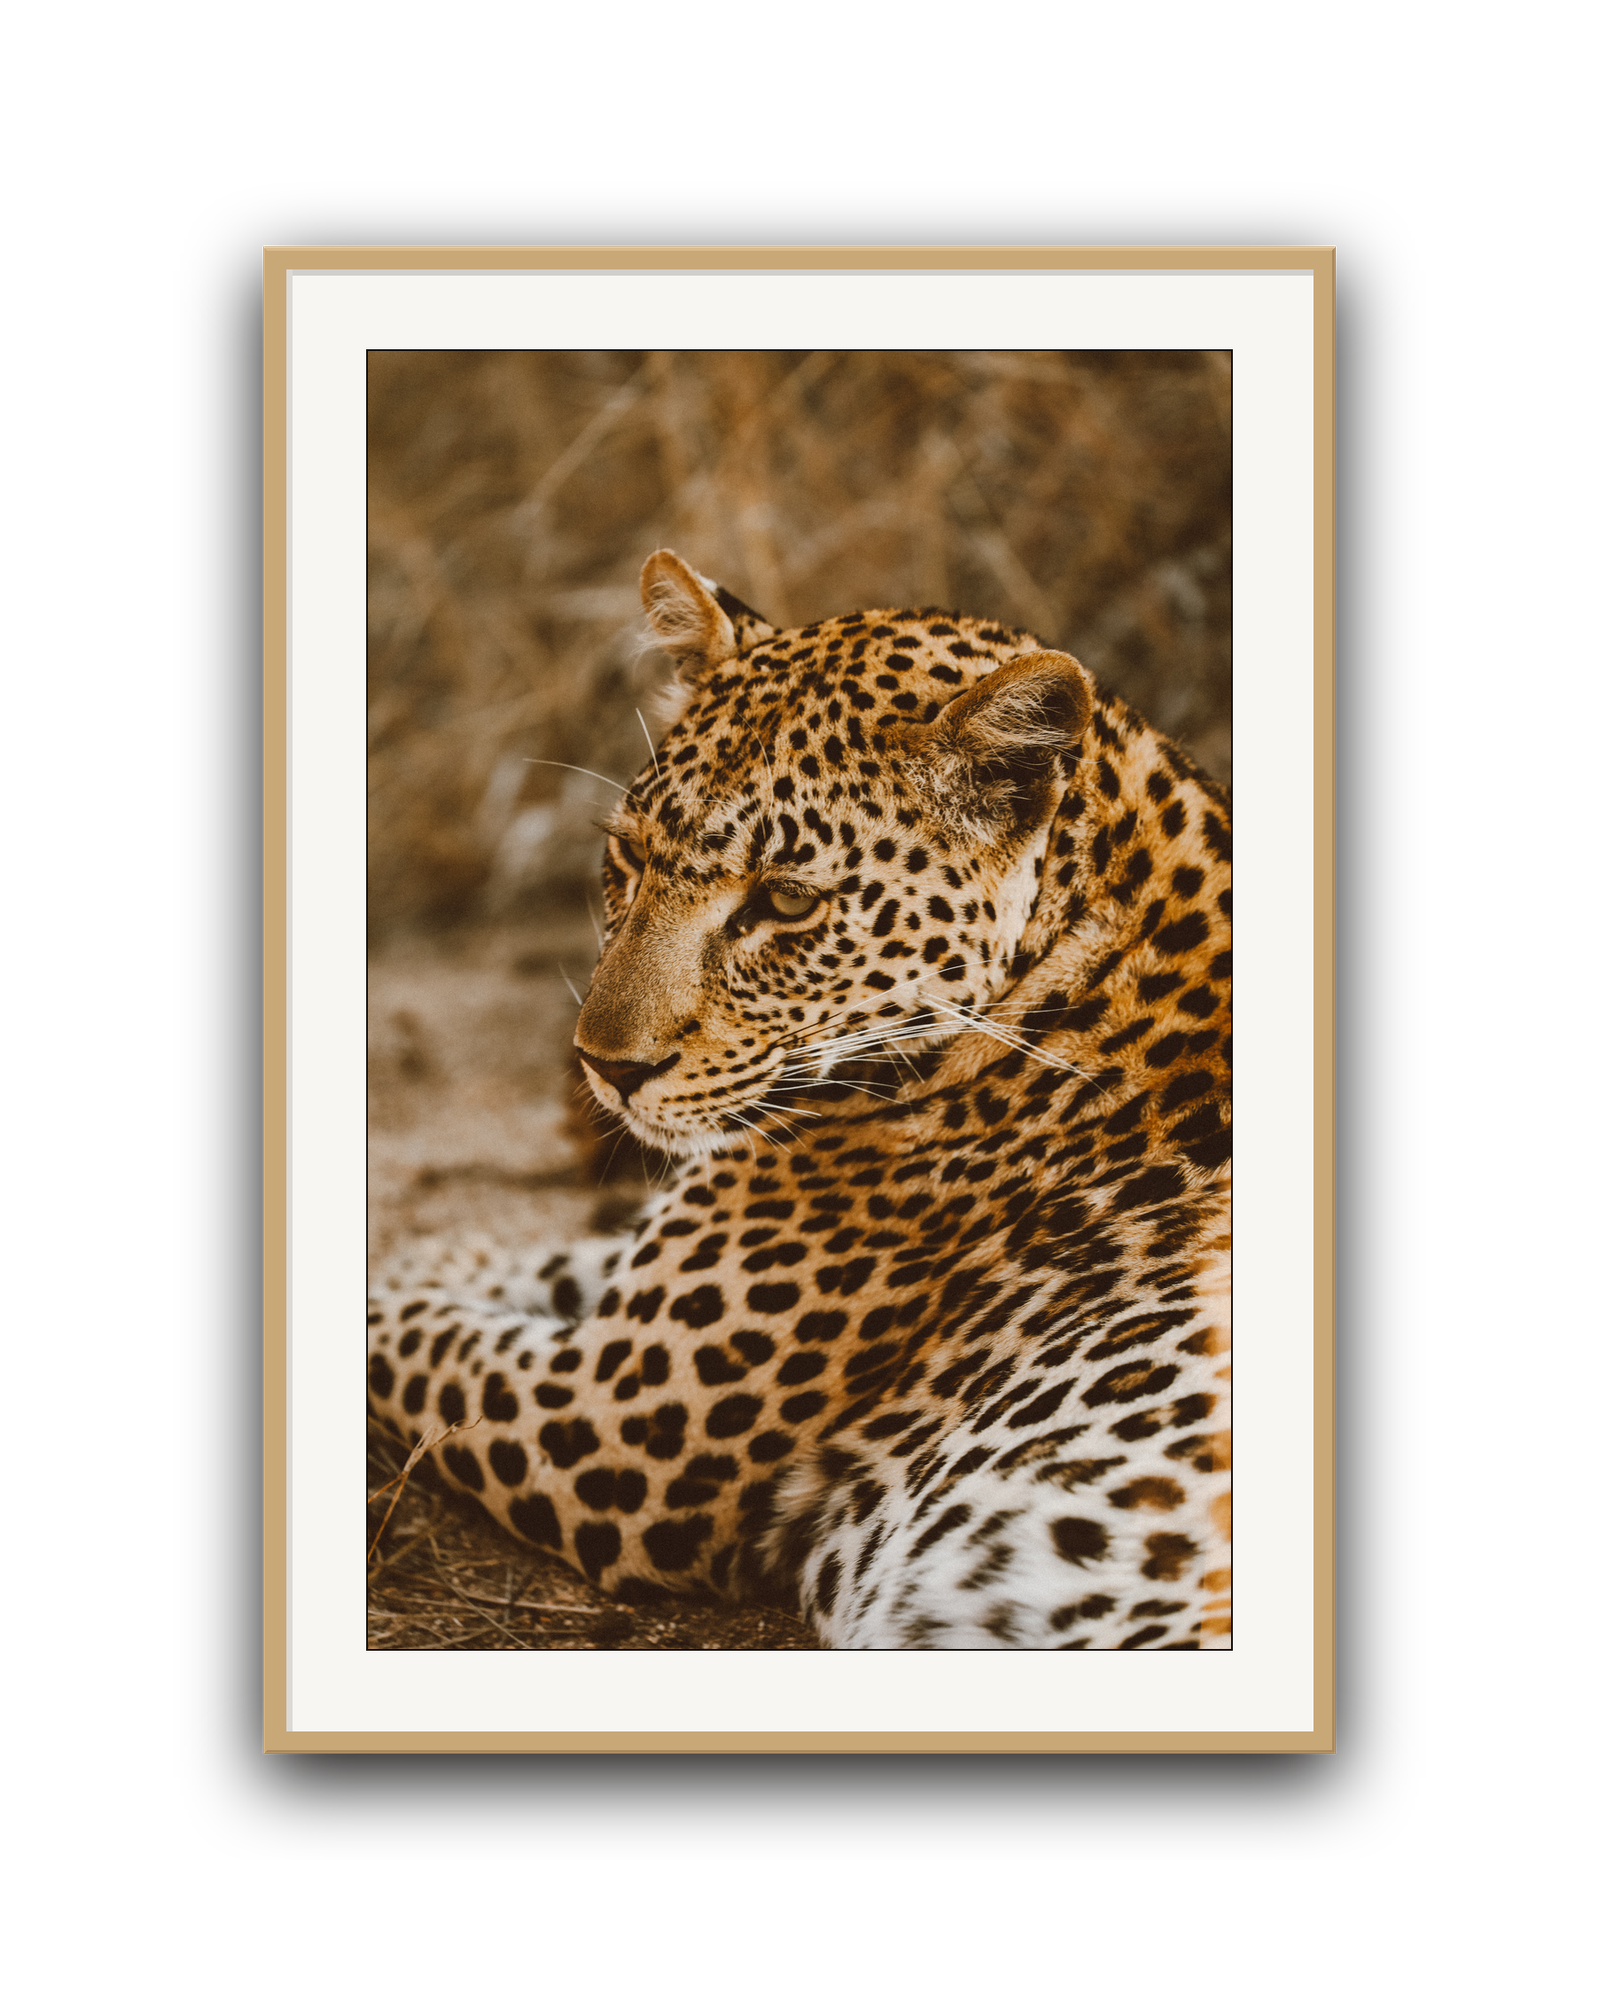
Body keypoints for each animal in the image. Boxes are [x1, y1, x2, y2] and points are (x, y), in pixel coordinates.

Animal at [368, 549, 1232, 1650]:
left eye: (783, 901)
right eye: (631, 857)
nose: (604, 1065)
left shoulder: (603, 1419)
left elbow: (409, 1338)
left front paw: (407, 1274)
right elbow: (555, 1260)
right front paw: (448, 1255)